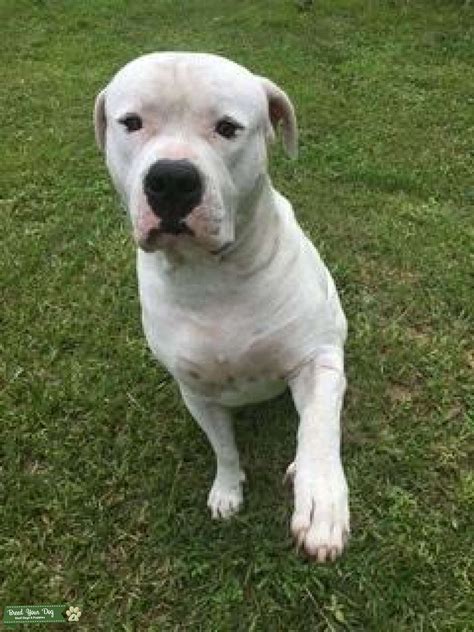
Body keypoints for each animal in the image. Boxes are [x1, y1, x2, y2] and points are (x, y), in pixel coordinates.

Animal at [94, 51, 350, 560]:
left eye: (228, 128)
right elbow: (224, 449)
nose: (172, 179)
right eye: (131, 122)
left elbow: (317, 431)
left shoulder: (318, 361)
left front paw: (322, 500)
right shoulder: (196, 392)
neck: (212, 277)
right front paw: (227, 490)